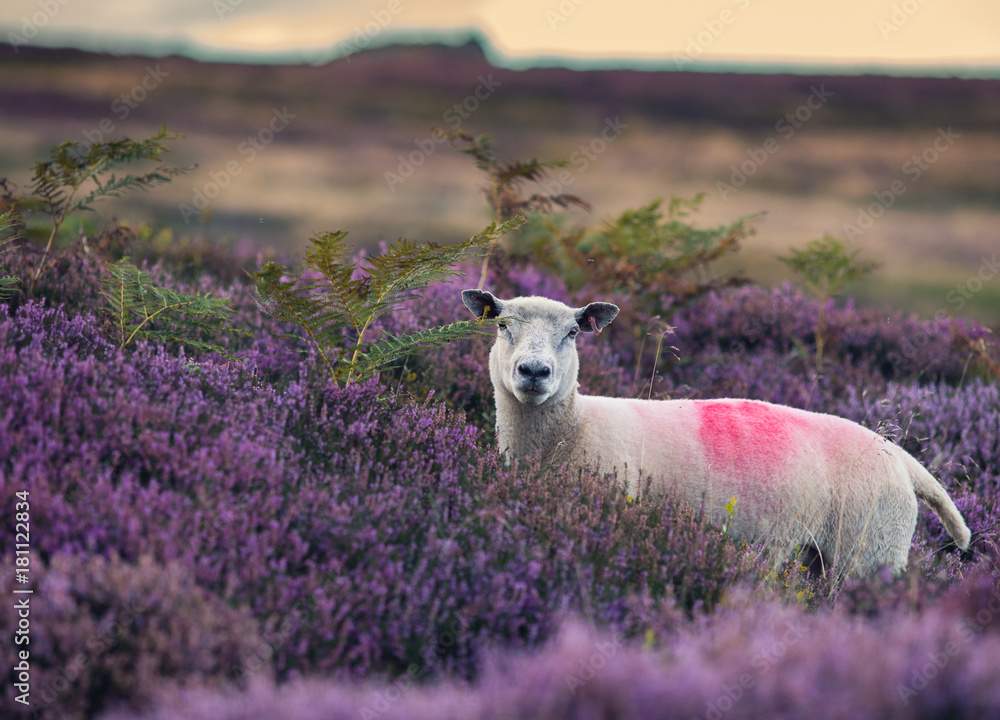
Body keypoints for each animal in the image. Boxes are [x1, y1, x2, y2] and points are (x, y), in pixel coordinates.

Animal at [461, 289, 971, 577]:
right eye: (502, 325)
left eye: (572, 333)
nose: (534, 372)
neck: (572, 428)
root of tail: (901, 459)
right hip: (823, 555)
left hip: (870, 550)